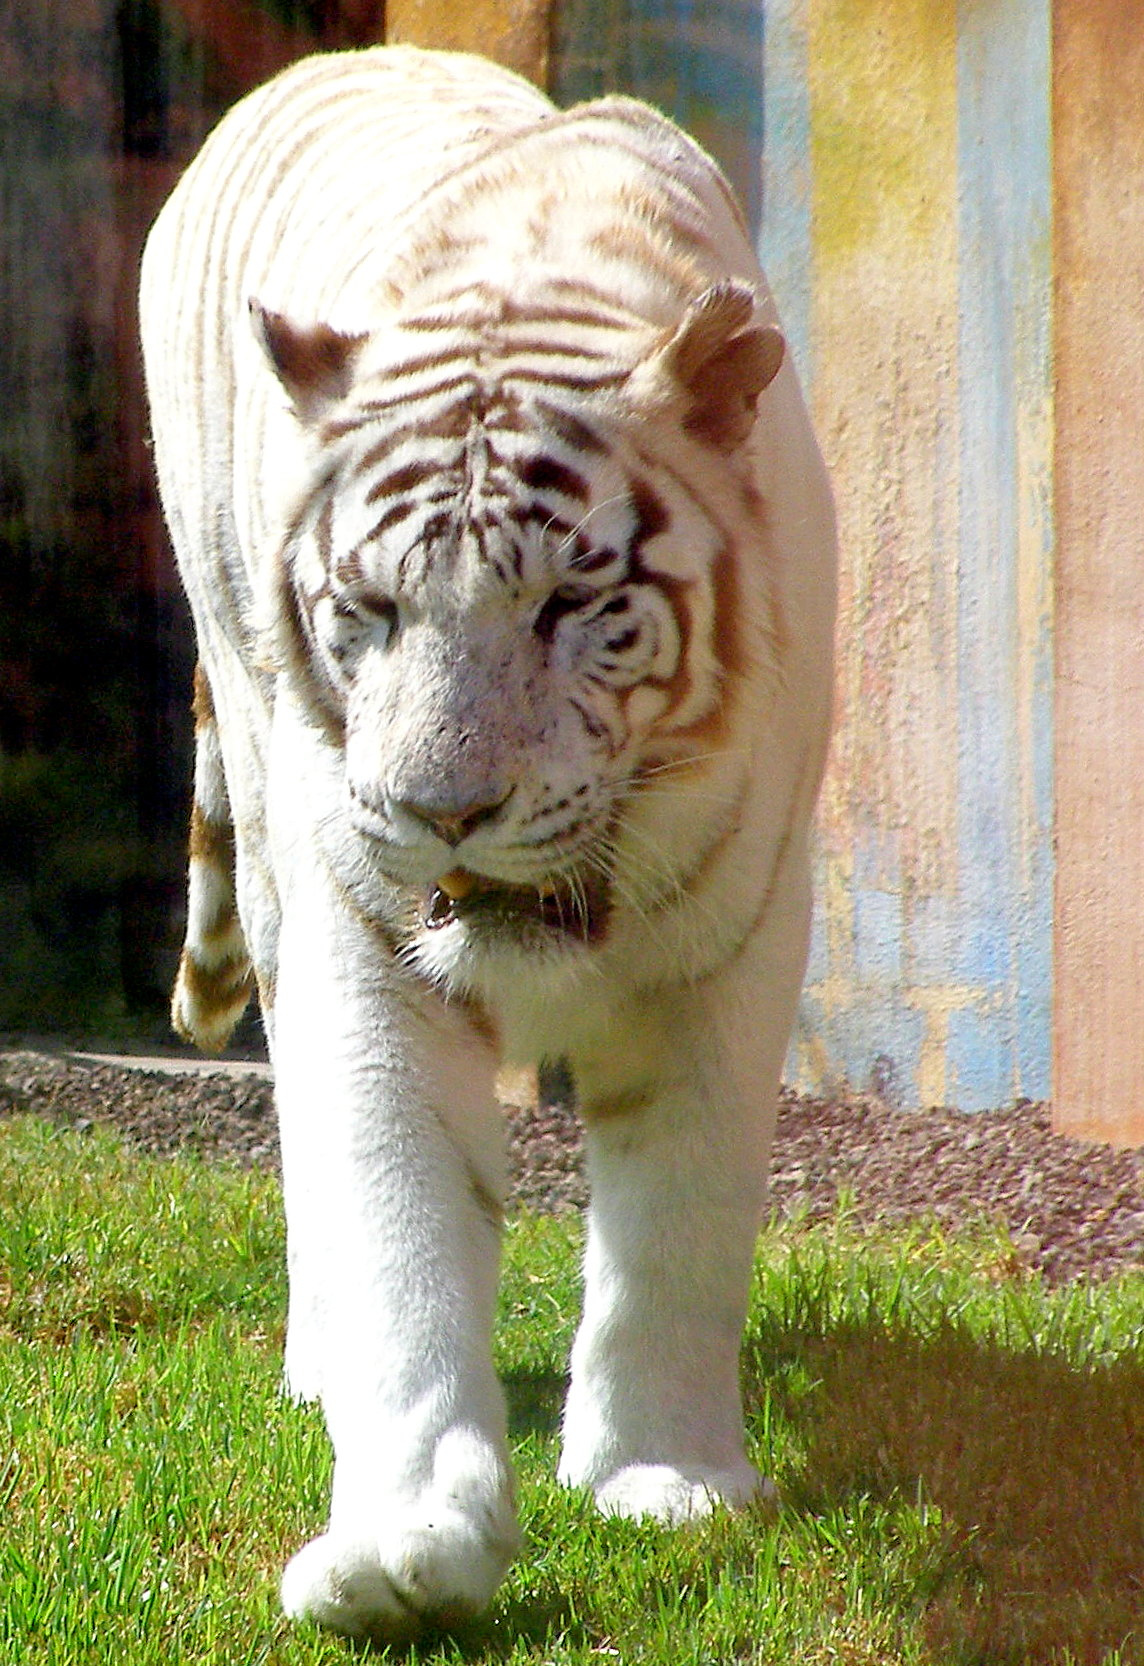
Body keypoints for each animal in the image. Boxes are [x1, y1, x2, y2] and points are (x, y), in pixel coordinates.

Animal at [138, 45, 836, 1644]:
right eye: (370, 610)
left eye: (571, 606)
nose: (442, 810)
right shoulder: (367, 935)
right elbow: (399, 1214)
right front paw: (404, 1540)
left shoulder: (739, 930)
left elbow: (681, 1220)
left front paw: (660, 1479)